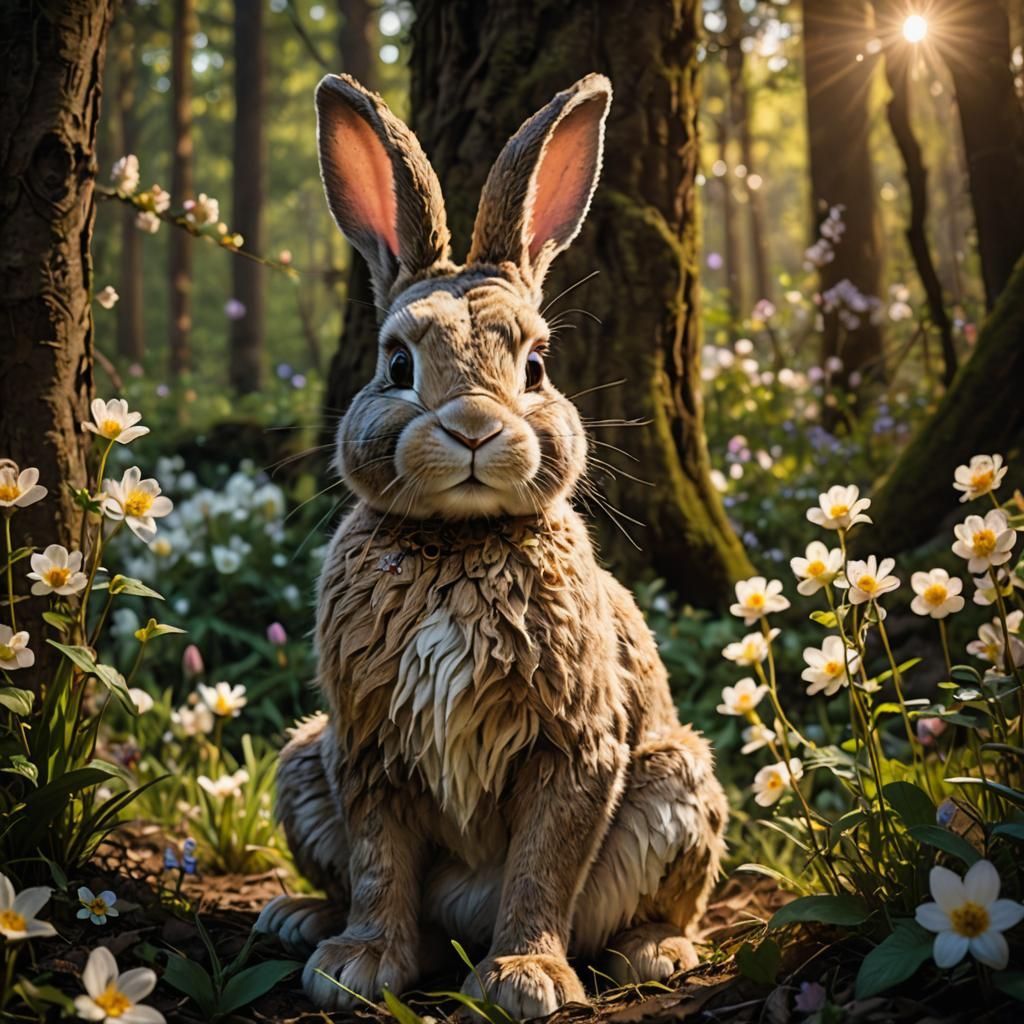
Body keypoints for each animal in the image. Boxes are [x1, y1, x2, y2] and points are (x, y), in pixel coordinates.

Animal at [256, 72, 728, 1018]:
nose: (474, 425)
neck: (460, 544)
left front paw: (523, 978)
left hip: (677, 782)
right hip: (302, 759)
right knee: (356, 879)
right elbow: (379, 865)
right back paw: (301, 920)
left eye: (537, 367)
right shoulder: (369, 748)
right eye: (397, 365)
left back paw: (655, 952)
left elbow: (543, 869)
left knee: (660, 901)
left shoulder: (574, 749)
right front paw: (358, 966)